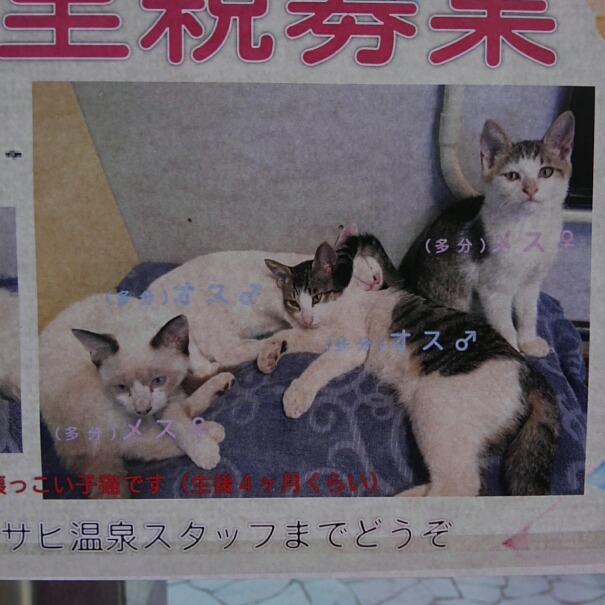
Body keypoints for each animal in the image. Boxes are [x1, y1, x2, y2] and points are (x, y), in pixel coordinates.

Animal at [39, 294, 235, 499]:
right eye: (121, 387)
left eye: (158, 380)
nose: (143, 409)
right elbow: (176, 427)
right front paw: (205, 450)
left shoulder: (165, 395)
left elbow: (194, 359)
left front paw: (207, 369)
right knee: (143, 447)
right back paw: (213, 430)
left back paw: (221, 384)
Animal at [257, 236, 559, 497]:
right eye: (294, 303)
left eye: (317, 297)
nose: (307, 318)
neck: (343, 299)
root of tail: (529, 371)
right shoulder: (321, 335)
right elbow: (289, 335)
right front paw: (269, 352)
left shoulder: (353, 345)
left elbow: (318, 366)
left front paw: (297, 394)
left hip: (436, 406)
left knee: (459, 485)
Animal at [400, 111, 575, 358]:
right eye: (512, 176)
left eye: (546, 172)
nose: (530, 189)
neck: (528, 226)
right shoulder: (493, 289)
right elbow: (504, 324)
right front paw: (514, 350)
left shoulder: (531, 282)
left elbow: (529, 312)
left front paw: (529, 342)